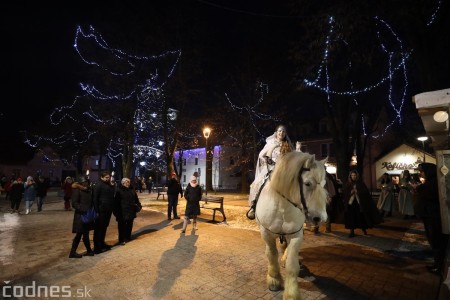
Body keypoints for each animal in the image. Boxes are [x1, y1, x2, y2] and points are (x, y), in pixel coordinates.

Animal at [256, 152, 326, 300]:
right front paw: (274, 279)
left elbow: (292, 265)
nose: (320, 218)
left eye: (324, 184)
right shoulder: (266, 233)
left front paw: (291, 293)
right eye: (307, 183)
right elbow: (271, 254)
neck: (283, 207)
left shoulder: (296, 235)